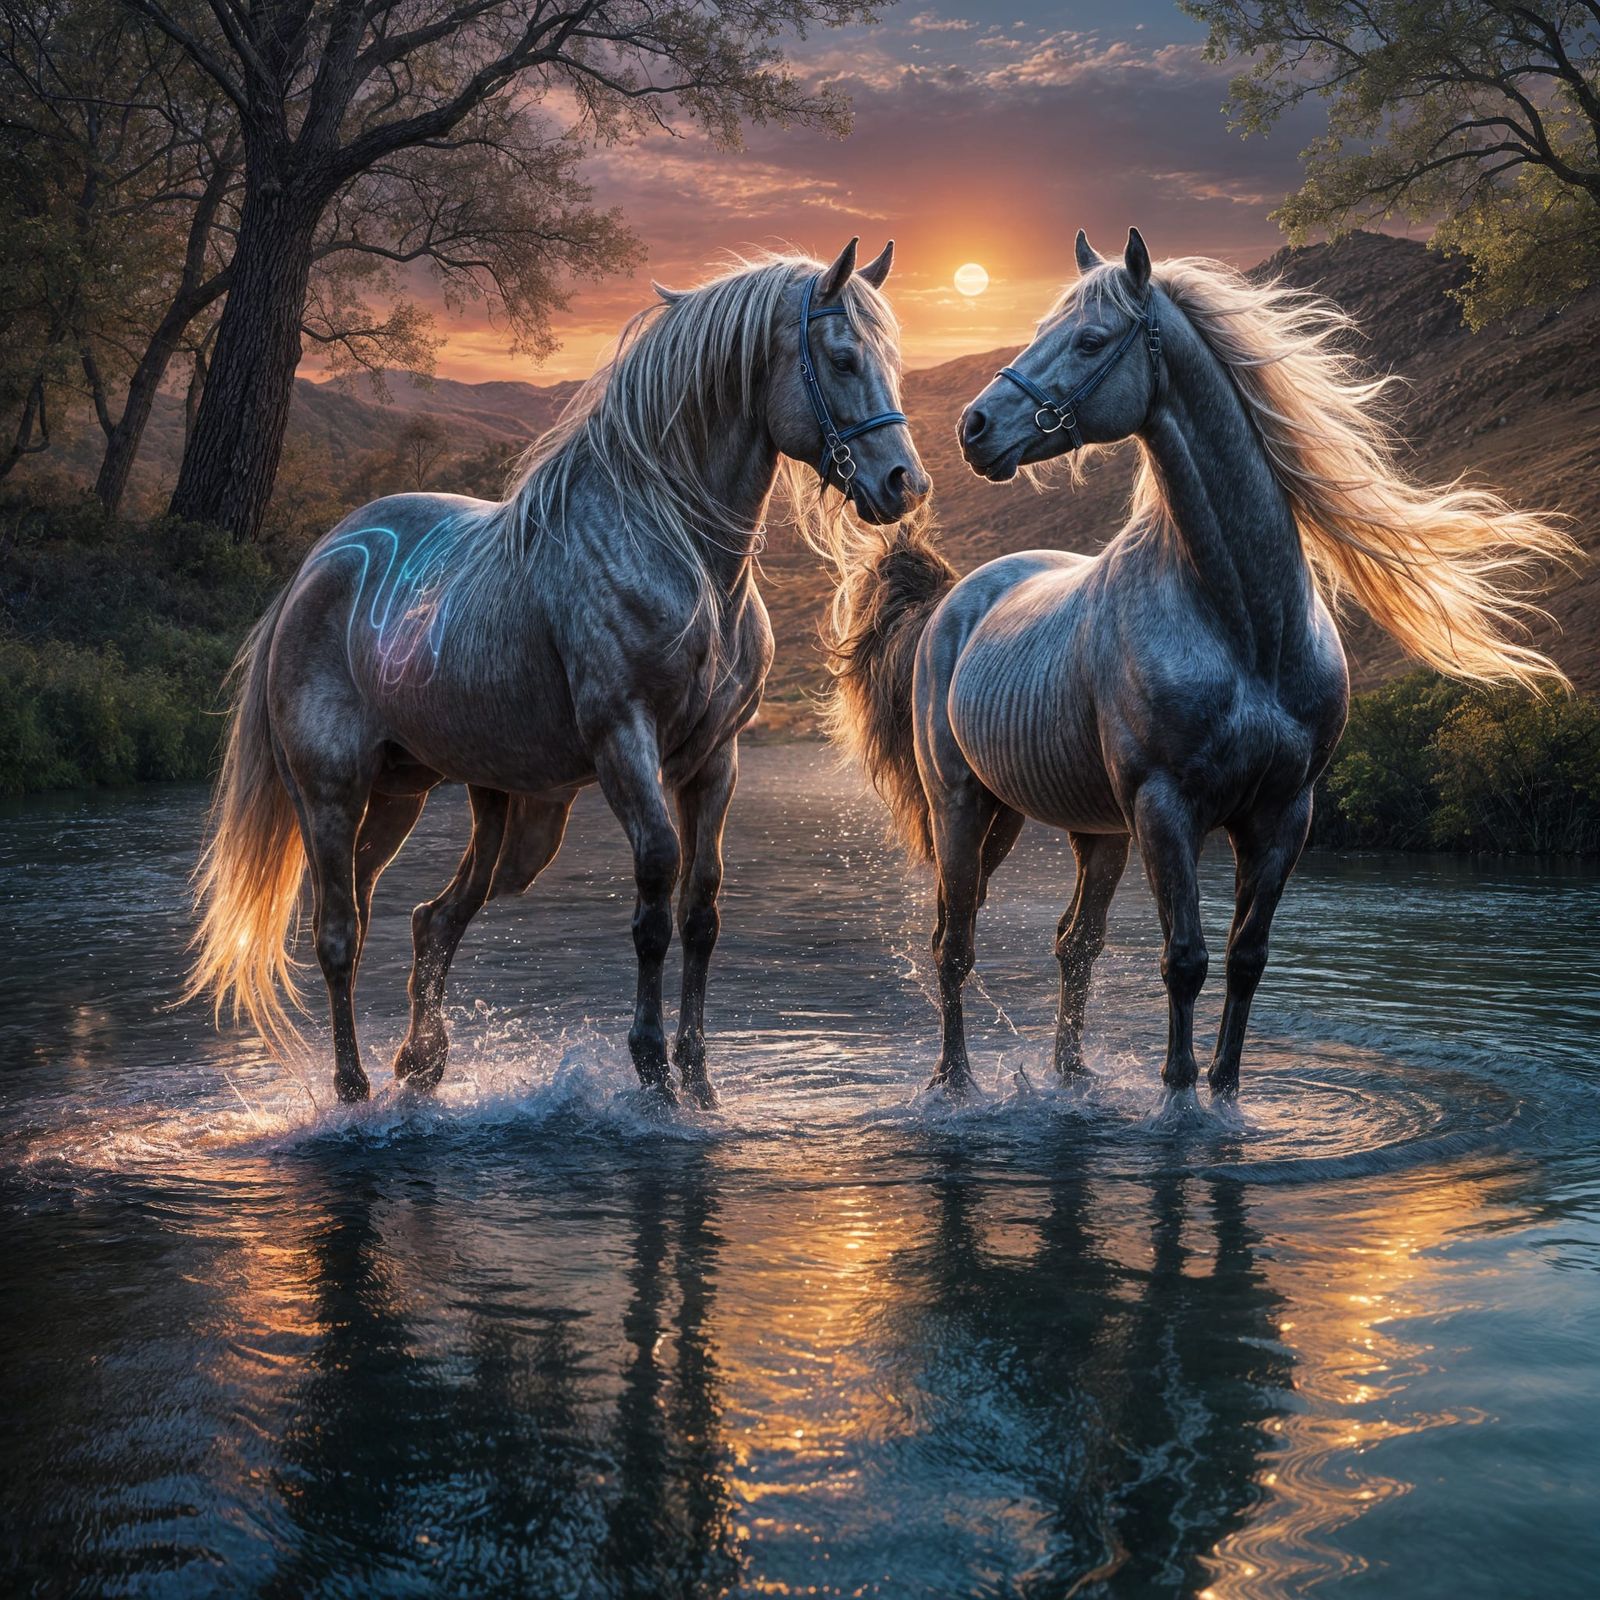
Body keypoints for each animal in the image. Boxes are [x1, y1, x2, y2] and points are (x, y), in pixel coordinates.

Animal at [186, 239, 929, 1107]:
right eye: (842, 358)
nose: (904, 485)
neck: (676, 549)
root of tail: (316, 565)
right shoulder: (624, 741)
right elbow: (654, 898)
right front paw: (652, 1068)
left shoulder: (715, 759)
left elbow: (701, 909)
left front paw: (700, 1079)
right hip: (333, 794)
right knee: (340, 934)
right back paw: (353, 1087)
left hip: (447, 805)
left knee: (423, 920)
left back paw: (421, 1064)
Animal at [831, 227, 1572, 1101]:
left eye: (1089, 339)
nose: (974, 428)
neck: (1247, 625)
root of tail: (953, 600)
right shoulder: (1168, 809)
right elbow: (1183, 960)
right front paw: (1178, 1098)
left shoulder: (1283, 815)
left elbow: (1245, 960)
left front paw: (1221, 1094)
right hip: (968, 808)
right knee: (954, 942)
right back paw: (955, 1085)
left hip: (1092, 829)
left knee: (1073, 944)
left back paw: (1071, 1076)